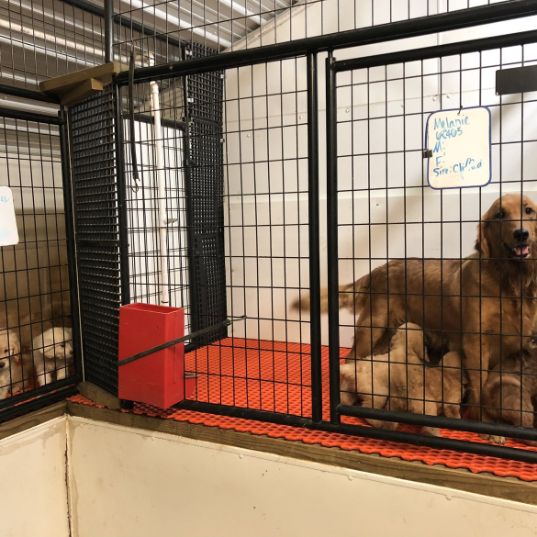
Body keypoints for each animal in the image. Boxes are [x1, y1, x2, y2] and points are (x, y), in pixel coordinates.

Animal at [294, 194, 536, 418]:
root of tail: (379, 269)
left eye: (529, 210)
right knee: (351, 358)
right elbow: (480, 383)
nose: (521, 233)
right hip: (373, 324)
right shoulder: (476, 342)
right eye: (500, 214)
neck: (510, 280)